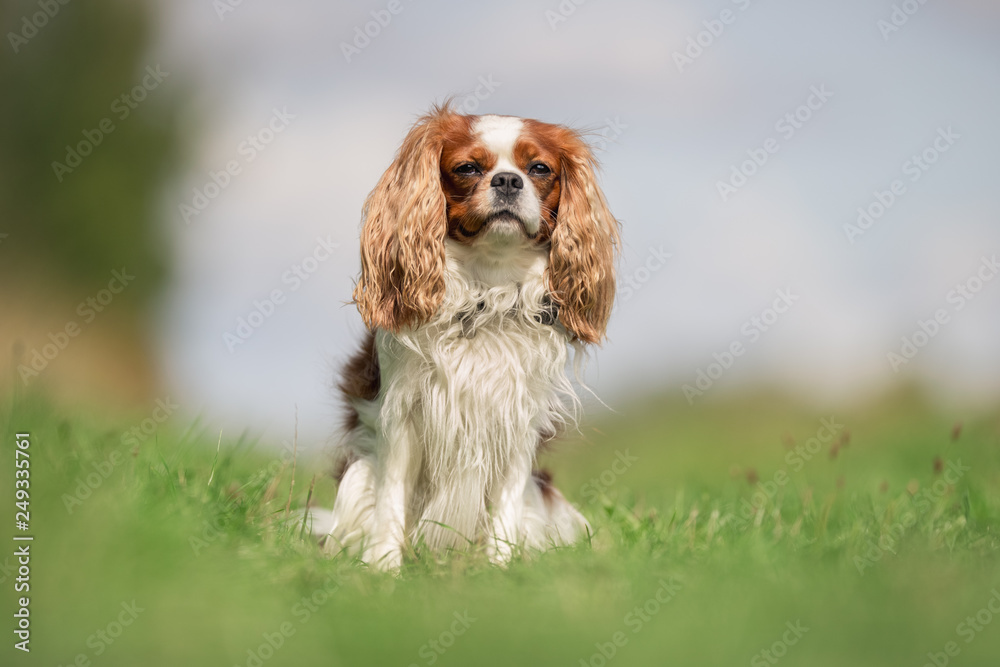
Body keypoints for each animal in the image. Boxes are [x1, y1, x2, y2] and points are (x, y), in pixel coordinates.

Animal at [322, 104, 616, 568]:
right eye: (467, 168)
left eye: (539, 169)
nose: (508, 180)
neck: (487, 286)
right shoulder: (401, 415)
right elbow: (391, 499)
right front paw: (383, 568)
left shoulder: (517, 419)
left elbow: (506, 505)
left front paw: (500, 568)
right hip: (356, 477)